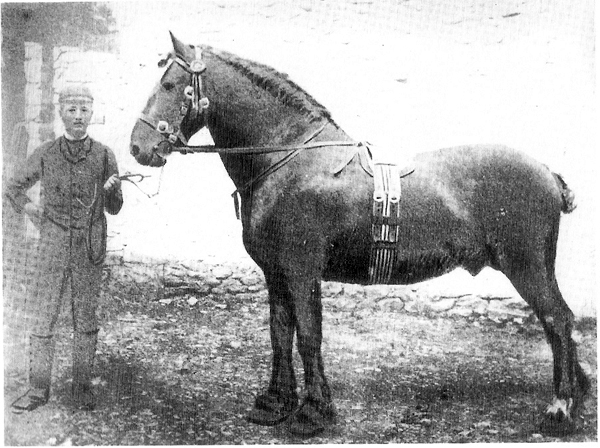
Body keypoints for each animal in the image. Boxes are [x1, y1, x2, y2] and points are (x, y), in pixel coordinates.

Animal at [130, 34, 584, 438]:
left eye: (169, 84)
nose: (138, 147)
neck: (287, 157)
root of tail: (547, 173)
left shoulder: (301, 272)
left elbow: (308, 336)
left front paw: (312, 413)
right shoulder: (275, 274)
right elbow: (280, 333)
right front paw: (275, 402)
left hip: (526, 267)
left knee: (558, 320)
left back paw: (560, 407)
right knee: (559, 322)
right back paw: (579, 392)